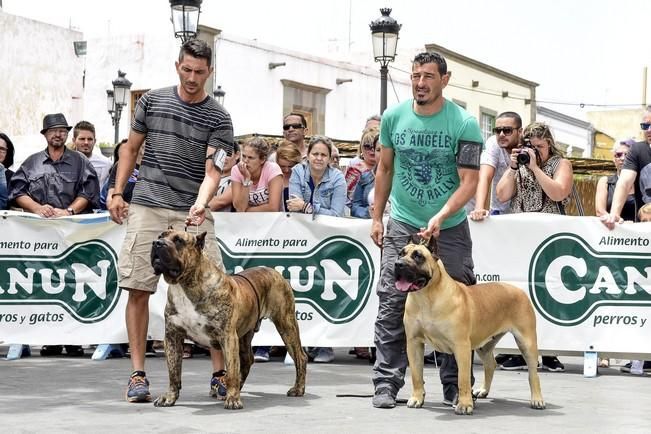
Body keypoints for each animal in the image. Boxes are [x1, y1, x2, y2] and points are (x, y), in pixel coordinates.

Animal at [152, 229, 306, 408]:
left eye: (179, 241)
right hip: (245, 335)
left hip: (286, 324)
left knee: (300, 357)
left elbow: (231, 370)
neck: (184, 285)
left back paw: (297, 388)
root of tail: (274, 272)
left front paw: (233, 399)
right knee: (247, 361)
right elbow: (173, 371)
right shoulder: (172, 336)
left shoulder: (227, 337)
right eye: (161, 236)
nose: (157, 243)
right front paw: (169, 397)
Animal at [398, 236, 544, 416]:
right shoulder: (414, 343)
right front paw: (417, 398)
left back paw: (537, 399)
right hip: (484, 344)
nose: (398, 264)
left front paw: (465, 405)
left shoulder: (461, 346)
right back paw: (483, 390)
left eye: (418, 256)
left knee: (533, 373)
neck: (427, 297)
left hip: (526, 341)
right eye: (400, 253)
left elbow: (463, 378)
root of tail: (518, 290)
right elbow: (416, 375)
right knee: (490, 364)